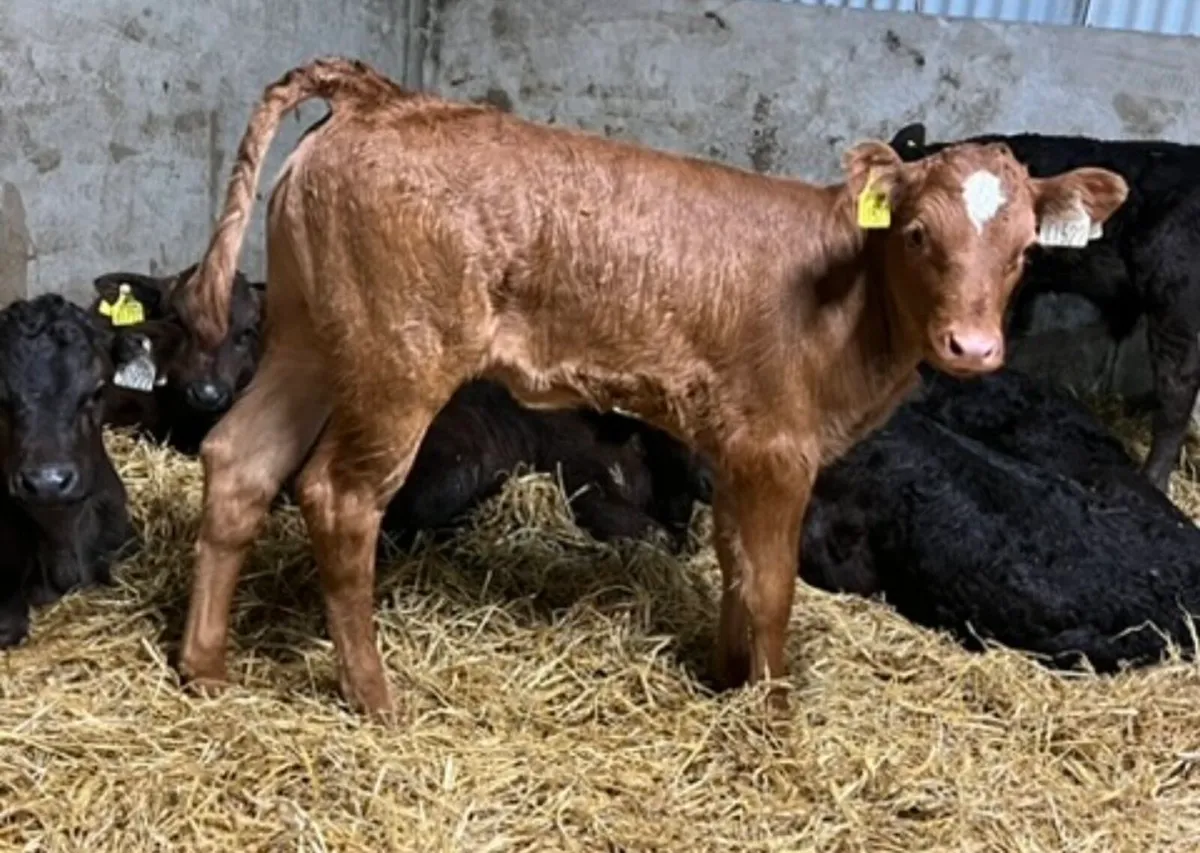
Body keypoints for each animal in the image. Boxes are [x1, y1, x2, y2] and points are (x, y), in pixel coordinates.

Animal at [173, 57, 1127, 718]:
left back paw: (206, 670)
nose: (973, 345)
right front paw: (773, 717)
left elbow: (738, 567)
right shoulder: (779, 449)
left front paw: (728, 681)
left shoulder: (737, 449)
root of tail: (381, 95)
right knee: (339, 499)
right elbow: (773, 585)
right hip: (397, 359)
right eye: (920, 233)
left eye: (1025, 249)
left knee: (239, 461)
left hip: (308, 336)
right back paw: (376, 698)